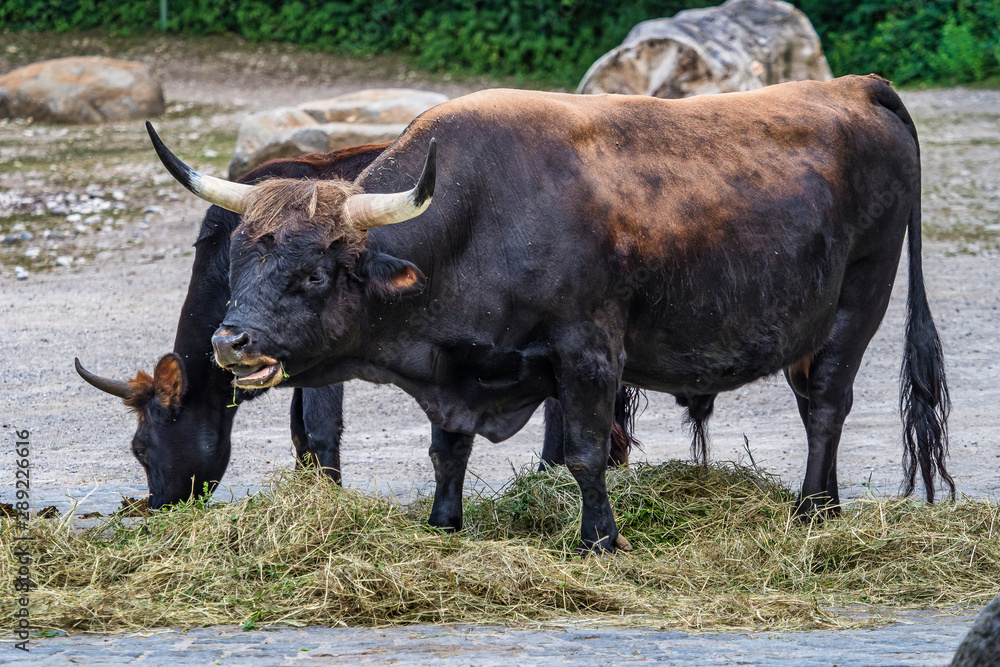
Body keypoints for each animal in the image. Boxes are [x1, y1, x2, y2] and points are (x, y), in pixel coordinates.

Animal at [148, 74, 952, 552]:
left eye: (313, 273)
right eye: (238, 262)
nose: (230, 339)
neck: (481, 213)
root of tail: (854, 85)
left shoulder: (589, 352)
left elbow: (585, 452)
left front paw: (600, 539)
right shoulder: (455, 367)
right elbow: (447, 451)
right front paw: (445, 524)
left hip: (860, 301)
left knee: (827, 407)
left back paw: (811, 511)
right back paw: (829, 505)